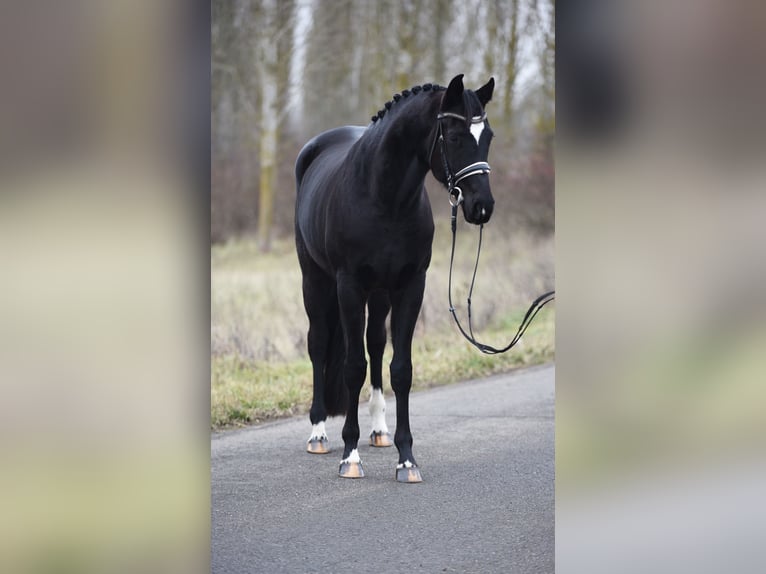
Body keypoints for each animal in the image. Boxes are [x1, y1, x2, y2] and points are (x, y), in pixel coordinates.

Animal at [294, 74, 498, 484]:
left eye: (488, 136)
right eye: (455, 136)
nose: (481, 207)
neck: (383, 198)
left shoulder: (409, 286)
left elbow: (400, 369)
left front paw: (406, 459)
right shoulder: (349, 287)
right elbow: (353, 367)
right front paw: (350, 456)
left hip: (379, 294)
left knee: (375, 344)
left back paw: (379, 431)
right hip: (316, 282)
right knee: (319, 344)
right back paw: (319, 433)